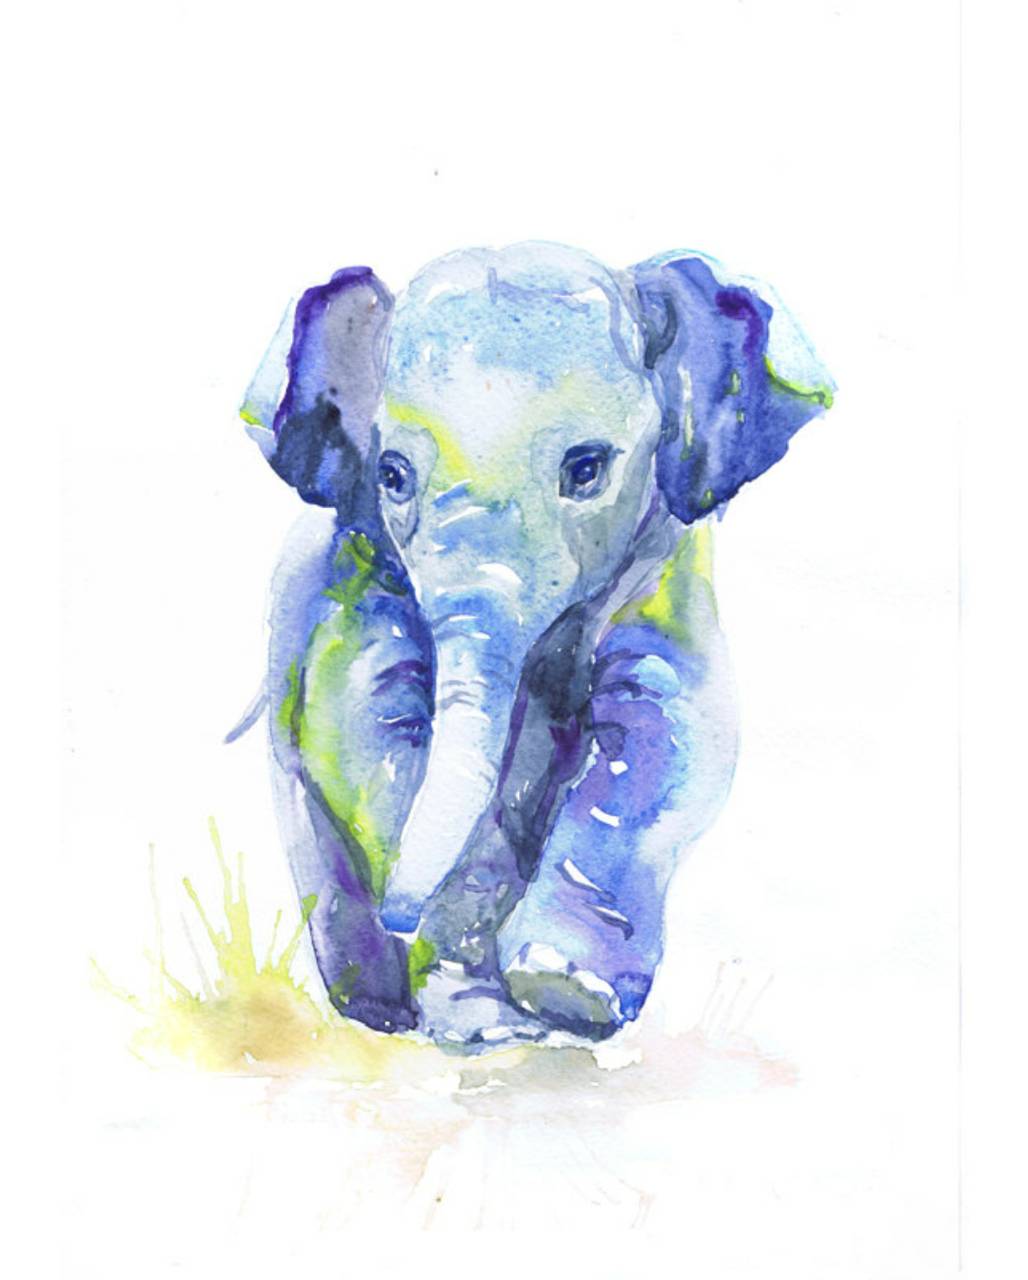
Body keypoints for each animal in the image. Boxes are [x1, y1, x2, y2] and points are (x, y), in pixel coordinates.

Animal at [237, 242, 833, 1049]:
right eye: (391, 475)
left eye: (586, 469)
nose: (405, 913)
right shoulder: (351, 578)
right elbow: (366, 729)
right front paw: (477, 996)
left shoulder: (669, 565)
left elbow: (669, 731)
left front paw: (566, 991)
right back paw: (381, 1006)